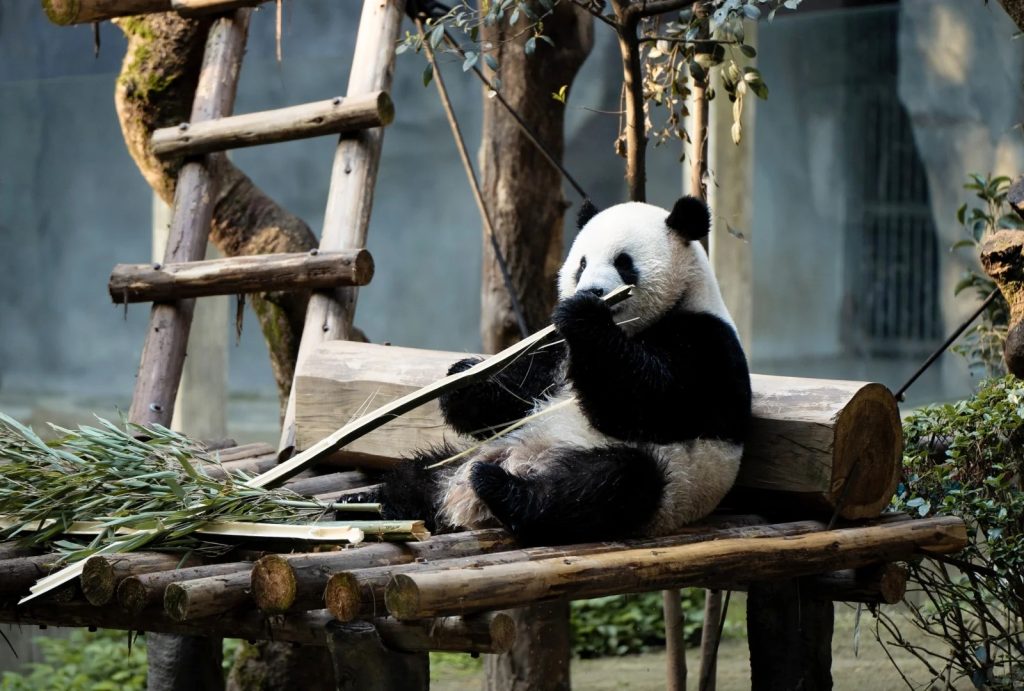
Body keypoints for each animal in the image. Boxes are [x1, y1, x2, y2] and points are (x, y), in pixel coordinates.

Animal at [346, 196, 752, 546]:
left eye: (623, 262)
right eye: (582, 263)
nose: (593, 290)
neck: (630, 328)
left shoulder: (704, 343)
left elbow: (648, 405)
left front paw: (585, 315)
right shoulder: (554, 348)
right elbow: (515, 398)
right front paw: (462, 379)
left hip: (670, 482)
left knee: (603, 487)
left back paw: (500, 488)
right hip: (469, 455)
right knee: (418, 473)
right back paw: (372, 505)